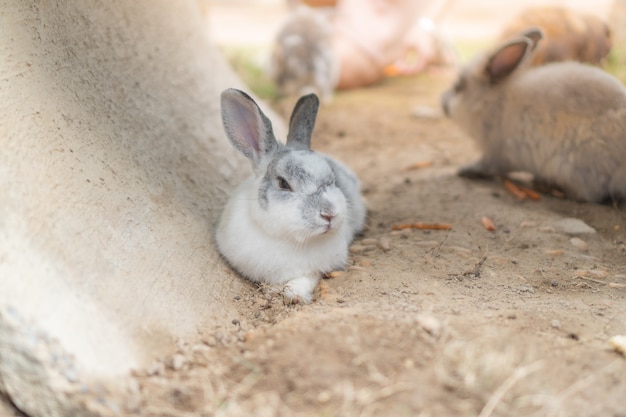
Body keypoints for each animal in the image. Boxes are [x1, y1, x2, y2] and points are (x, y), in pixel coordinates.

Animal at [214, 88, 364, 302]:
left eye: (332, 178)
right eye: (284, 183)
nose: (329, 214)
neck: (289, 239)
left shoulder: (314, 270)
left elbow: (305, 279)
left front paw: (294, 294)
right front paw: (273, 291)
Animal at [438, 29, 624, 203]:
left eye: (459, 86)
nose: (442, 102)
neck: (491, 104)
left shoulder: (496, 153)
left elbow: (486, 166)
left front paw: (465, 170)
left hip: (573, 166)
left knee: (588, 195)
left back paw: (548, 186)